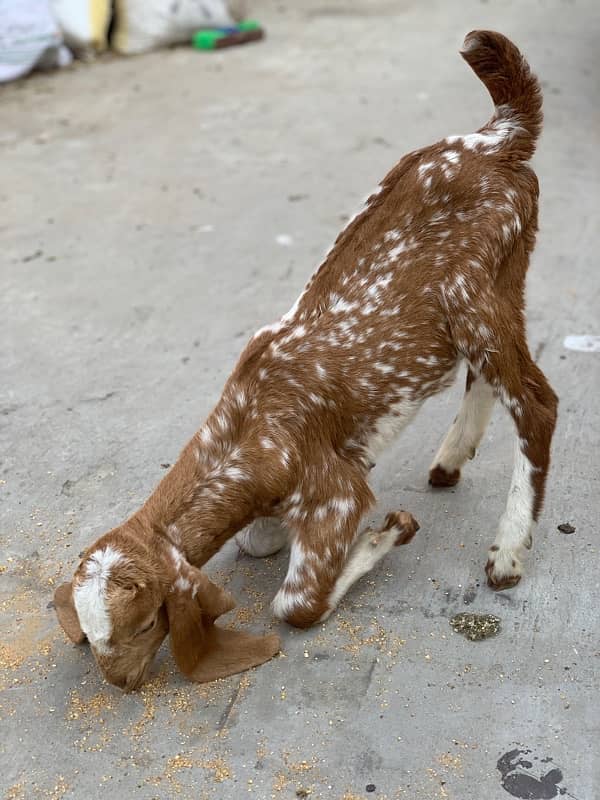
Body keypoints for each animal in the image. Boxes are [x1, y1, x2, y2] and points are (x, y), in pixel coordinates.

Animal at [55, 32, 556, 688]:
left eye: (143, 625)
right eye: (92, 635)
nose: (122, 682)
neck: (241, 434)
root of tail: (498, 135)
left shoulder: (333, 493)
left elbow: (294, 604)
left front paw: (389, 532)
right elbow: (255, 544)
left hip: (476, 292)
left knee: (536, 402)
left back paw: (508, 551)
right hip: (497, 285)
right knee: (486, 377)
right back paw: (451, 458)